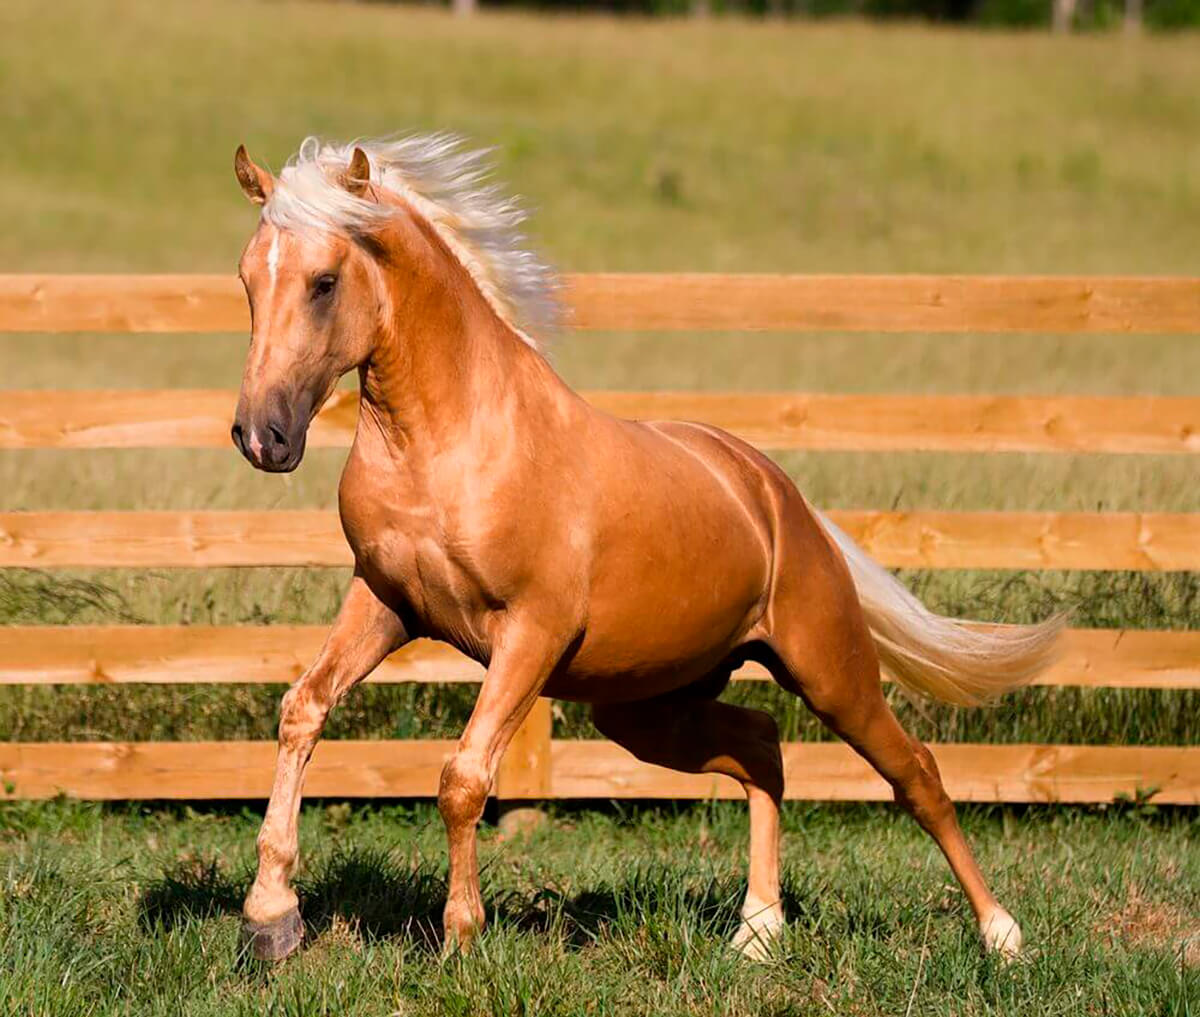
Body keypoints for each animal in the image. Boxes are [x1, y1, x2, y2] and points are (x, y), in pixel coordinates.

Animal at [230, 134, 1061, 964]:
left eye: (325, 282)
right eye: (247, 277)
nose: (262, 436)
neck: (450, 441)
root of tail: (776, 493)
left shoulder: (530, 631)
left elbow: (463, 775)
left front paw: (462, 937)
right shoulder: (385, 601)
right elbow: (303, 708)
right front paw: (272, 916)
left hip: (830, 671)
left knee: (914, 771)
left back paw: (1002, 934)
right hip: (648, 706)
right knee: (762, 747)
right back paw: (757, 931)